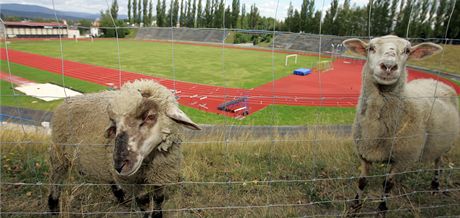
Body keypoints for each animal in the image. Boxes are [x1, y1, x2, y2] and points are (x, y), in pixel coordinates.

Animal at [47, 79, 200, 217]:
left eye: (150, 116)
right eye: (114, 125)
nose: (120, 165)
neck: (150, 160)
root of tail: (68, 100)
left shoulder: (162, 172)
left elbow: (158, 199)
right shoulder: (133, 182)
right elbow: (143, 204)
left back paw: (121, 196)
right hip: (59, 153)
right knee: (56, 178)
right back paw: (53, 205)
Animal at [344, 35, 458, 215]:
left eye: (407, 50)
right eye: (371, 48)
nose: (389, 66)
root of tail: (436, 80)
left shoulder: (402, 159)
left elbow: (387, 185)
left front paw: (382, 210)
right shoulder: (364, 153)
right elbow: (362, 181)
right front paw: (355, 207)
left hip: (445, 143)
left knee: (439, 163)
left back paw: (435, 185)